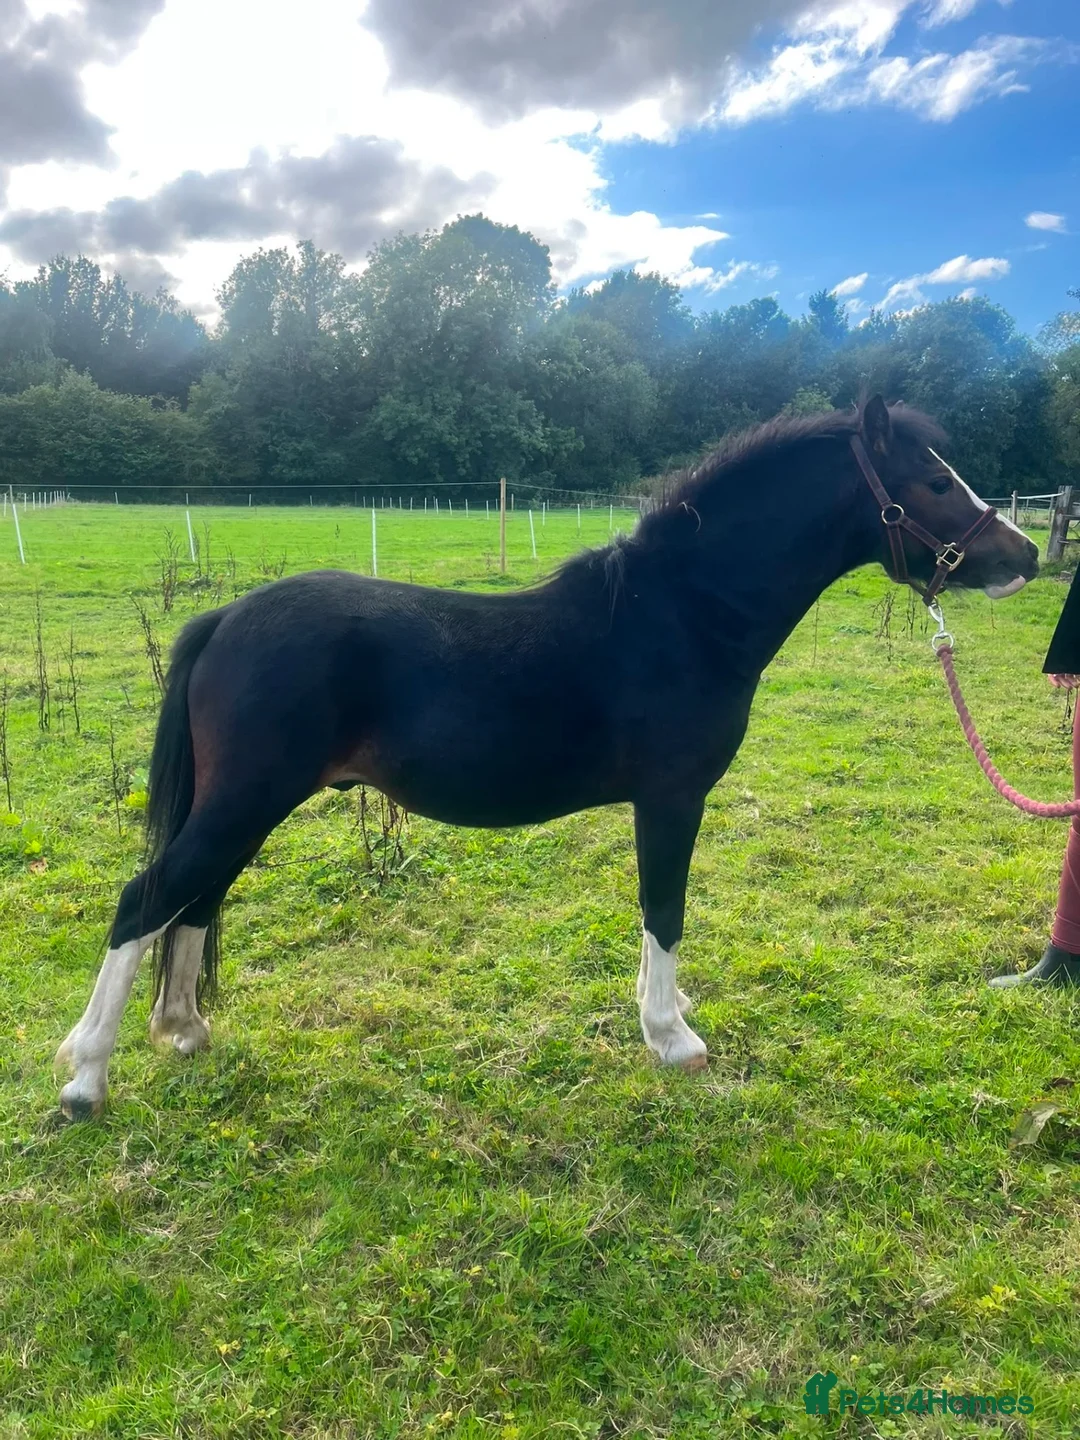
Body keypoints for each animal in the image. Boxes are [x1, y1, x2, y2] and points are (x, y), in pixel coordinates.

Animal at [54, 396, 1039, 1118]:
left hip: (245, 807)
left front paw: (663, 1018)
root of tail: (225, 618)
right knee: (145, 900)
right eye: (934, 480)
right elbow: (665, 910)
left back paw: (183, 1031)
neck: (680, 615)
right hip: (246, 801)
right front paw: (672, 1039)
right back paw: (84, 1079)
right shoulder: (672, 799)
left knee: (193, 903)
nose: (1023, 553)